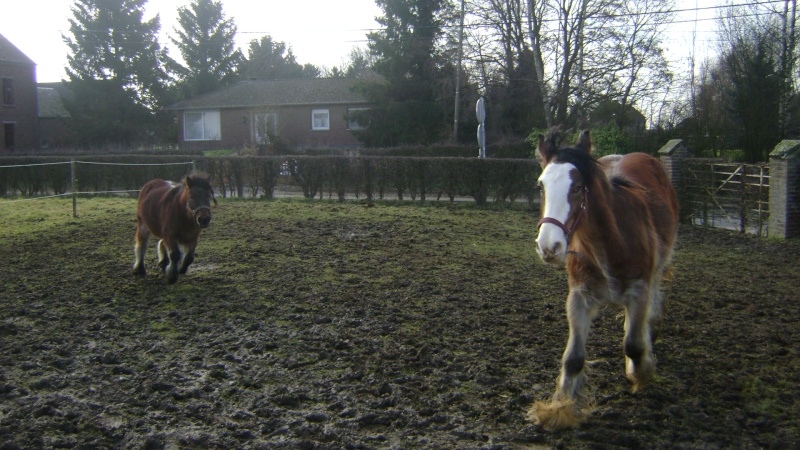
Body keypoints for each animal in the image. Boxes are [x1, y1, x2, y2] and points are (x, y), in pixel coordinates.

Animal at [528, 128, 680, 430]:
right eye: (541, 186)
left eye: (577, 188)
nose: (549, 246)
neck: (609, 243)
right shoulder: (579, 297)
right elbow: (573, 359)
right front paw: (559, 407)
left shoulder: (639, 291)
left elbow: (634, 345)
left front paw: (641, 370)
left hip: (658, 268)